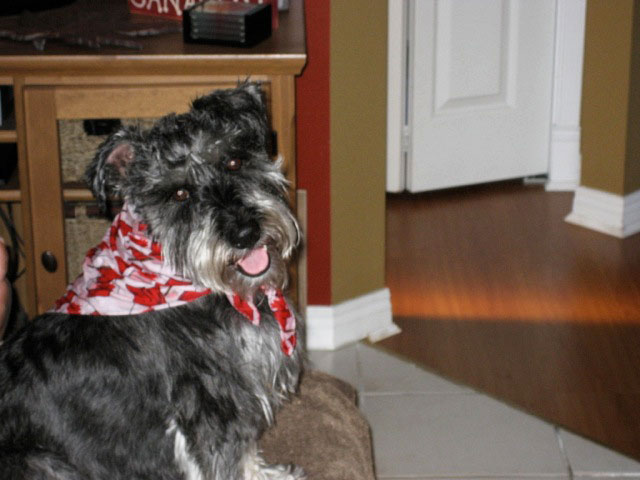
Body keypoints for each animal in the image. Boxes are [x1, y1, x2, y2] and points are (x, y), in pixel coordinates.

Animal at [0, 83, 308, 480]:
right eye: (179, 193)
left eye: (233, 161)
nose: (245, 233)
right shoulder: (212, 397)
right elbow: (229, 456)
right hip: (42, 464)